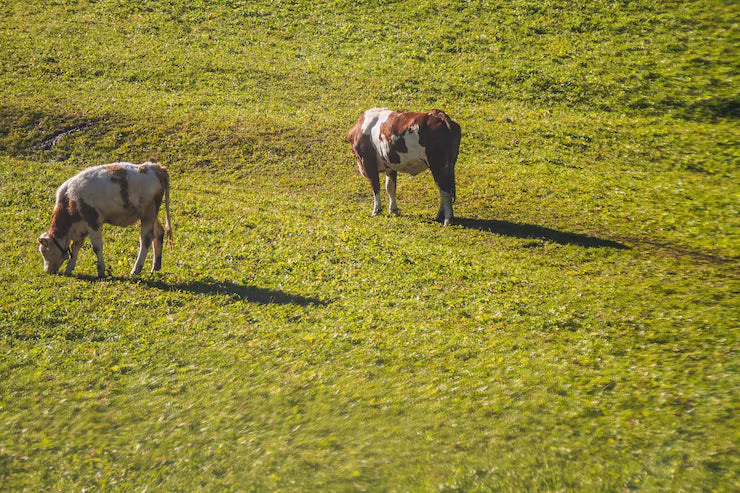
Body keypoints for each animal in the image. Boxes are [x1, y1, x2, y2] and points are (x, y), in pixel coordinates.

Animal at [37, 162, 173, 278]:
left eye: (44, 251)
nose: (47, 271)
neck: (69, 200)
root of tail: (154, 167)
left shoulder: (93, 220)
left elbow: (97, 246)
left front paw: (101, 270)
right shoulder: (82, 227)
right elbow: (76, 246)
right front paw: (69, 268)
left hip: (148, 215)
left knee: (146, 239)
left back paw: (136, 269)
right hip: (152, 215)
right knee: (158, 233)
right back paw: (155, 267)